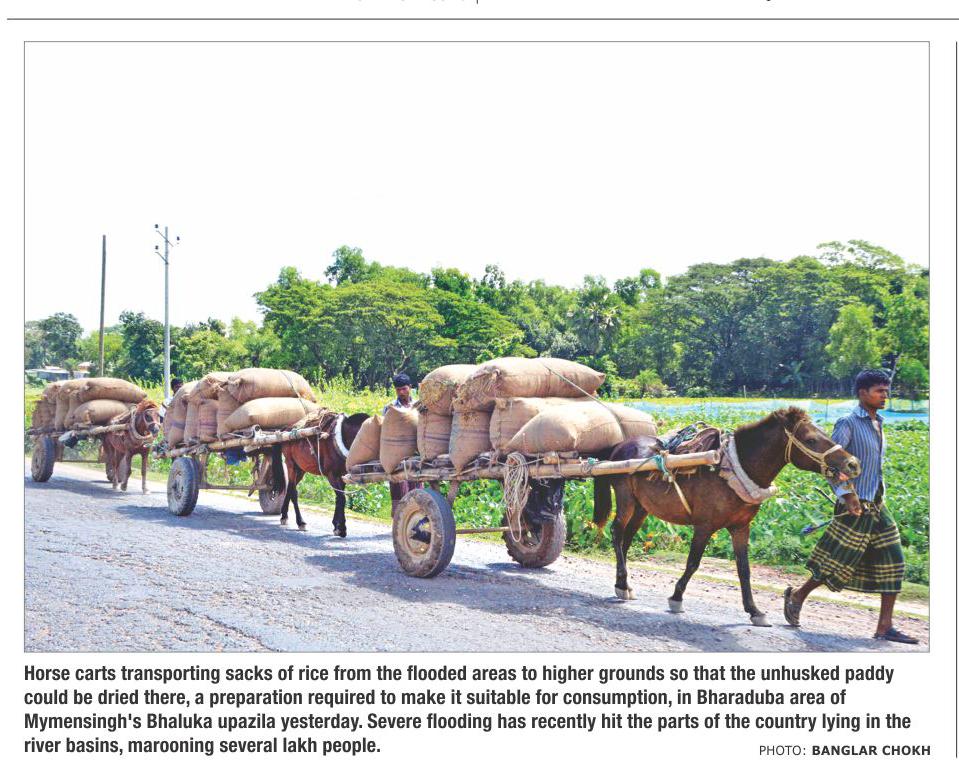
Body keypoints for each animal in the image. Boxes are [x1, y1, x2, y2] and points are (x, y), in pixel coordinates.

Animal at [592, 407, 861, 626]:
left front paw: (754, 610)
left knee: (626, 540)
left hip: (642, 507)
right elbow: (693, 563)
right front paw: (677, 597)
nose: (853, 464)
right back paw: (622, 583)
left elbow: (744, 569)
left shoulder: (741, 527)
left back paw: (622, 584)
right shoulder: (704, 526)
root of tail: (619, 446)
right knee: (617, 533)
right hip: (626, 500)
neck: (732, 469)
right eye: (811, 439)